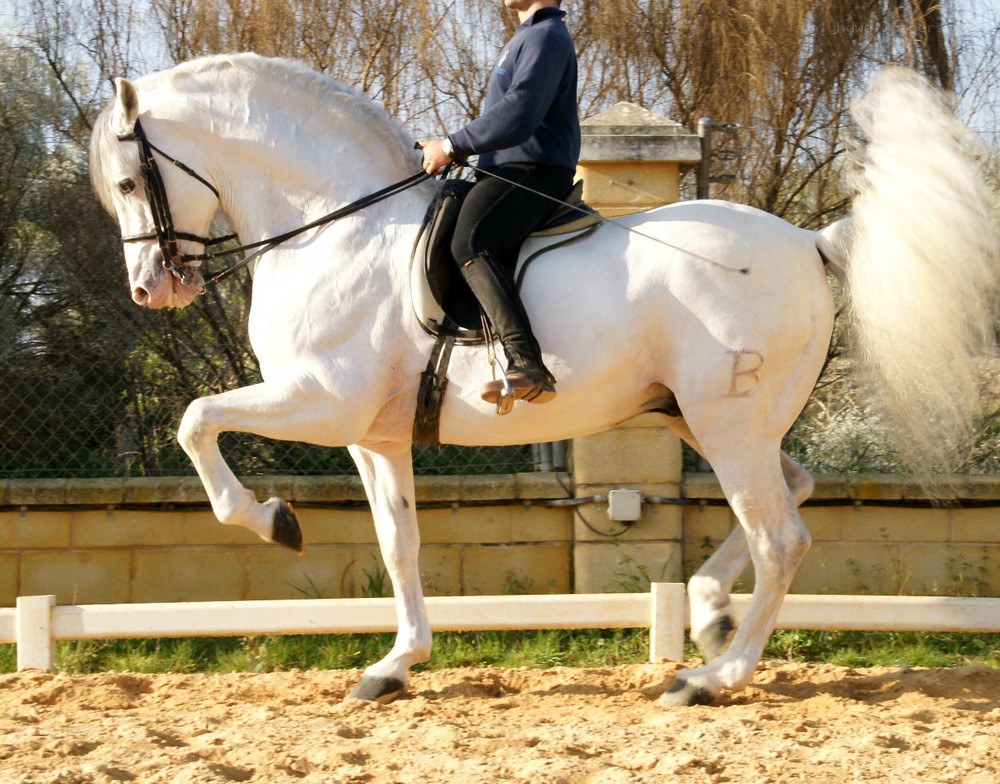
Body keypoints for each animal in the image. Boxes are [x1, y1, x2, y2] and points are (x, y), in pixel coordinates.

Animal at [88, 53, 997, 706]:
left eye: (131, 182)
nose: (152, 289)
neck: (333, 225)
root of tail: (809, 241)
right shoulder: (372, 434)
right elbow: (398, 543)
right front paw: (395, 666)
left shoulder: (321, 400)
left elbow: (195, 420)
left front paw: (273, 520)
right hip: (709, 418)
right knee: (795, 493)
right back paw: (709, 614)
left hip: (728, 425)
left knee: (783, 537)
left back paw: (711, 679)